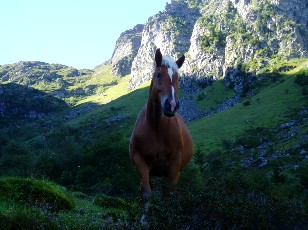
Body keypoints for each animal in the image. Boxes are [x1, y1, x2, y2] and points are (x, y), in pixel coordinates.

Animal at [129, 48, 192, 203]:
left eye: (178, 78)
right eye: (157, 75)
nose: (172, 105)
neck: (156, 128)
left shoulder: (174, 165)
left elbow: (171, 194)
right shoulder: (140, 162)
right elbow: (146, 195)